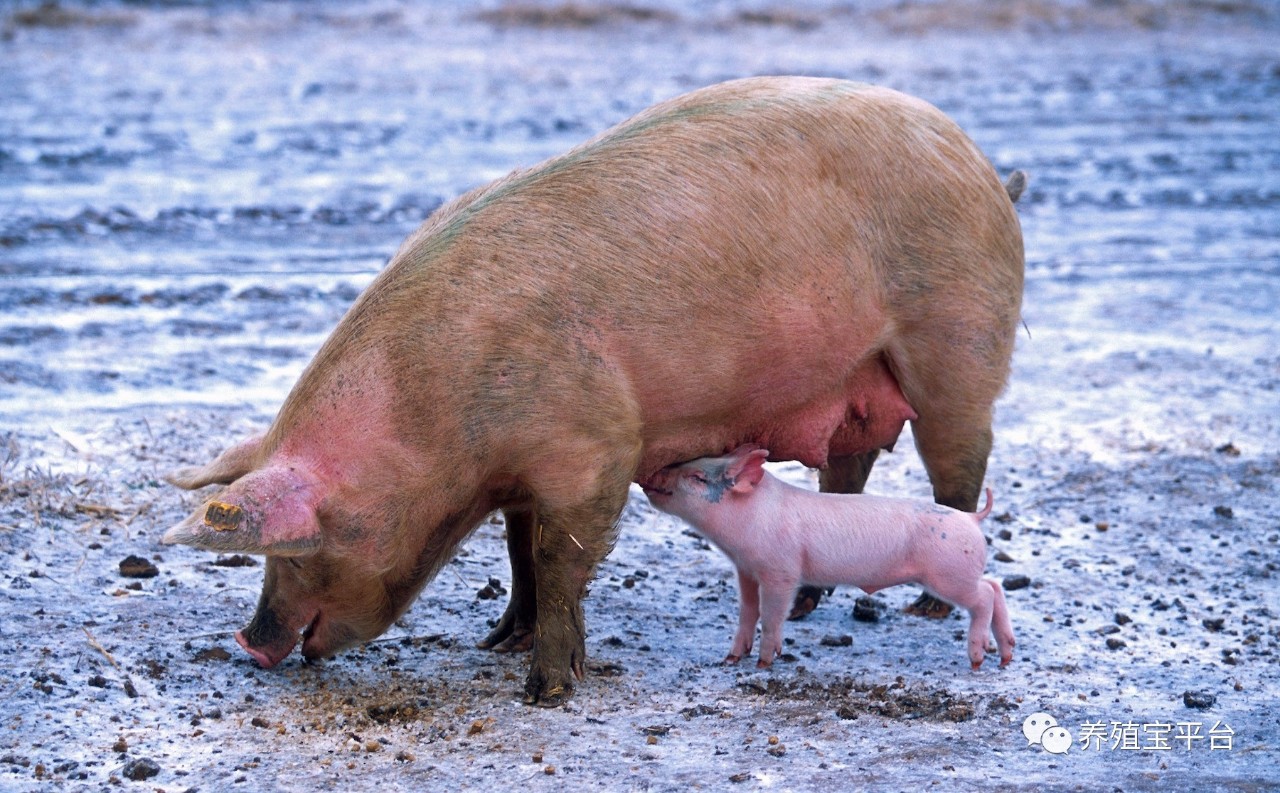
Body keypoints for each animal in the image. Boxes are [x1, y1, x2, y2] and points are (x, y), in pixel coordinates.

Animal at [645, 445, 1013, 670]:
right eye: (687, 464)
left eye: (697, 477)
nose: (651, 474)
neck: (751, 518)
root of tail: (972, 519)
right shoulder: (746, 569)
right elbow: (747, 611)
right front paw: (731, 659)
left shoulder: (781, 570)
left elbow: (772, 615)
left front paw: (764, 663)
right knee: (995, 585)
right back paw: (1005, 656)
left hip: (949, 574)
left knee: (984, 596)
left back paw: (978, 659)